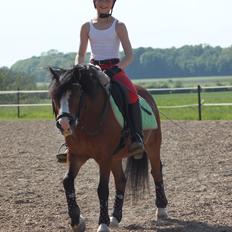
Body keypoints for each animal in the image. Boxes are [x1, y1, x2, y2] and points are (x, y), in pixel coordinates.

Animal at [49, 64, 168, 232]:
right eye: (55, 96)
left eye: (77, 95)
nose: (64, 124)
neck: (88, 119)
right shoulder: (76, 156)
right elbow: (67, 181)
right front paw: (76, 220)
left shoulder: (104, 158)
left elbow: (102, 189)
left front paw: (102, 224)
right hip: (116, 157)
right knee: (121, 180)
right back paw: (116, 217)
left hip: (153, 146)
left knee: (156, 171)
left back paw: (161, 210)